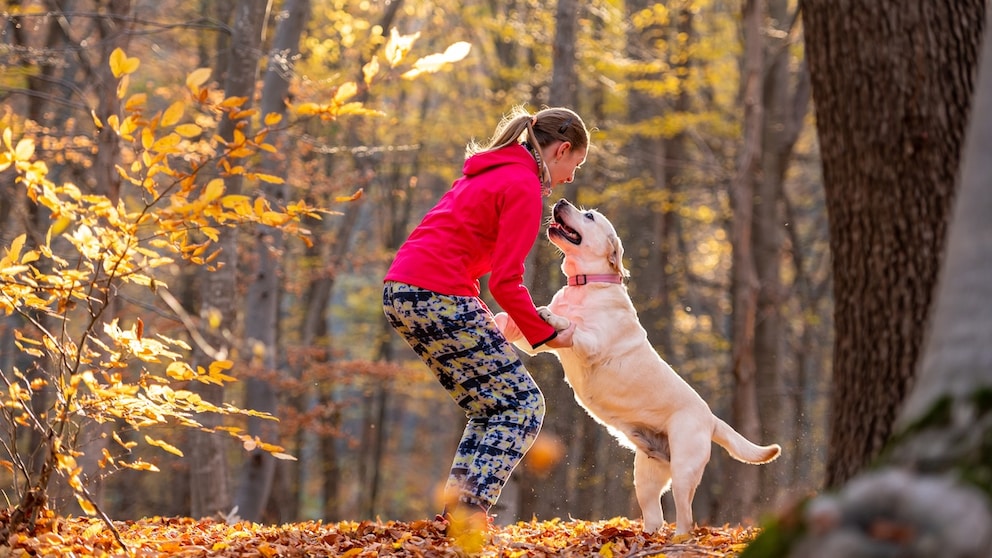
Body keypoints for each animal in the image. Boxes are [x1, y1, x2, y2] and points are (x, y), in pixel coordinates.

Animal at [496, 200, 784, 540]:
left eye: (589, 216)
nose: (562, 202)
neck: (586, 283)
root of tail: (711, 418)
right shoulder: (537, 345)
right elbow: (516, 326)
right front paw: (503, 319)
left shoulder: (593, 342)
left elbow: (570, 326)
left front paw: (553, 317)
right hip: (645, 476)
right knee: (654, 516)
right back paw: (643, 538)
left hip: (684, 470)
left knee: (686, 519)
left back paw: (677, 540)